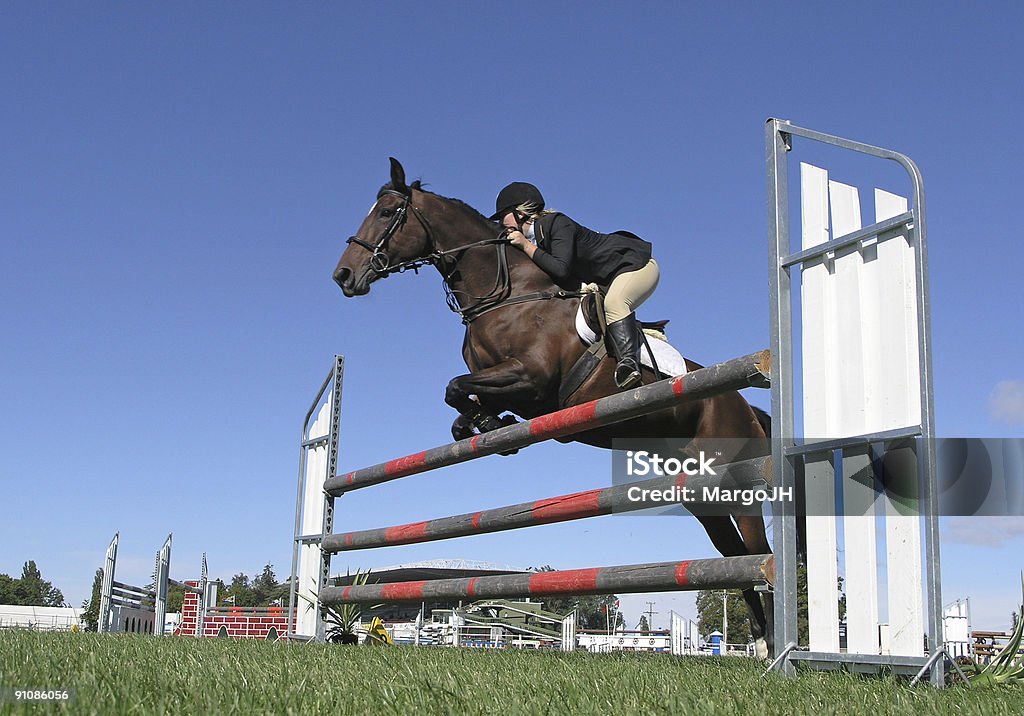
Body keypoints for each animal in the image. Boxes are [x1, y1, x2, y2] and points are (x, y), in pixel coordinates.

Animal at [331, 159, 770, 659]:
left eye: (387, 213)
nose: (343, 276)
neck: (505, 292)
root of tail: (747, 407)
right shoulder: (510, 388)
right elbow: (461, 404)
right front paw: (487, 426)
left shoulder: (533, 380)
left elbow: (454, 386)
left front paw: (487, 422)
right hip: (701, 493)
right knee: (735, 555)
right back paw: (763, 643)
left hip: (738, 480)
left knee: (757, 551)